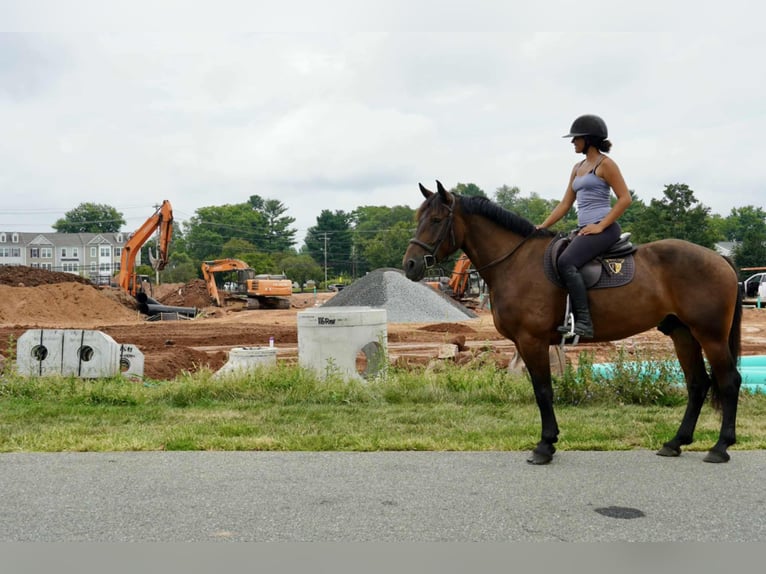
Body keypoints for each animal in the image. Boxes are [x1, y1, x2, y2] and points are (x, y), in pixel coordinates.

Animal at [402, 181, 743, 465]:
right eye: (419, 218)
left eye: (436, 220)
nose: (410, 264)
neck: (515, 262)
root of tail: (718, 258)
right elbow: (542, 389)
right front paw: (548, 442)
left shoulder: (532, 341)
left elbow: (543, 391)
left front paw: (544, 446)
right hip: (683, 334)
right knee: (697, 384)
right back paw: (676, 442)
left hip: (710, 335)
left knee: (728, 381)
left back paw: (720, 447)